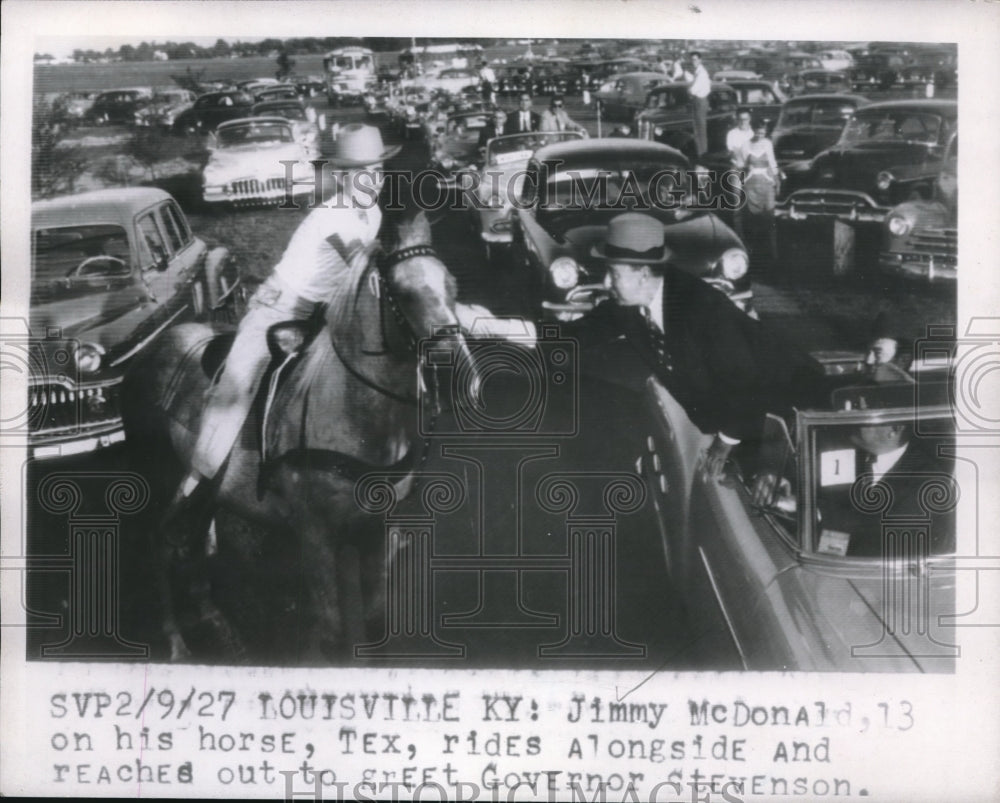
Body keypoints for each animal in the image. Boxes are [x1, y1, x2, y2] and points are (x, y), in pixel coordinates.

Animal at [121, 214, 480, 664]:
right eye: (401, 292)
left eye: (453, 286)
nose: (461, 381)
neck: (350, 410)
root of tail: (149, 355)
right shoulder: (316, 537)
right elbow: (331, 633)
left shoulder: (376, 531)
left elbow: (376, 624)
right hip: (159, 478)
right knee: (158, 542)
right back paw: (175, 642)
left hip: (206, 490)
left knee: (193, 541)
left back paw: (217, 623)